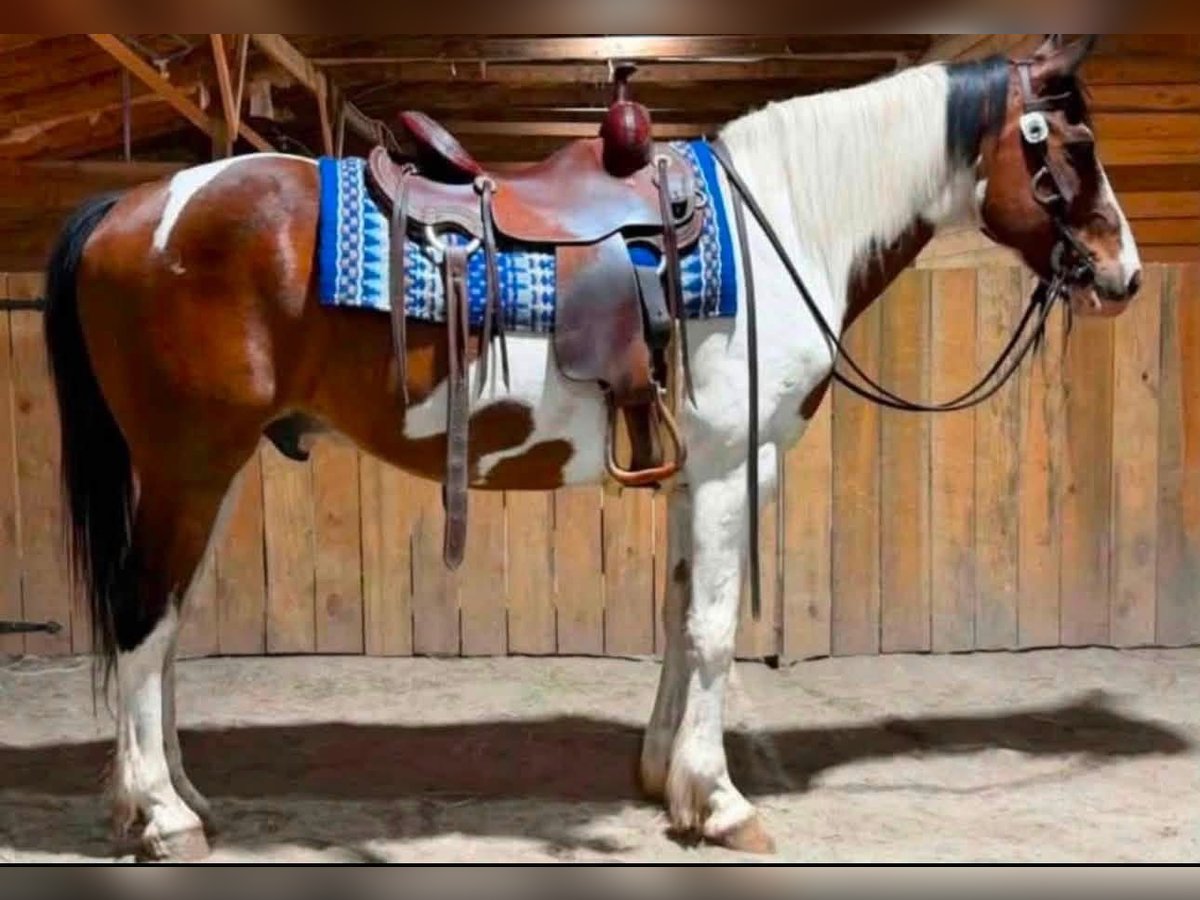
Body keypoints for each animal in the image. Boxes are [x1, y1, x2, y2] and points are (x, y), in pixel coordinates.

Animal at [41, 35, 1141, 860]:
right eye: (1076, 142)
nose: (1122, 275)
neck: (779, 223)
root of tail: (128, 208)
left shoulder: (699, 475)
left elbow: (679, 620)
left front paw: (667, 779)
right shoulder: (737, 467)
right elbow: (714, 632)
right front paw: (722, 803)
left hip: (204, 470)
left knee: (166, 625)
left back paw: (177, 795)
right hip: (188, 465)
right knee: (142, 615)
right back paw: (161, 817)